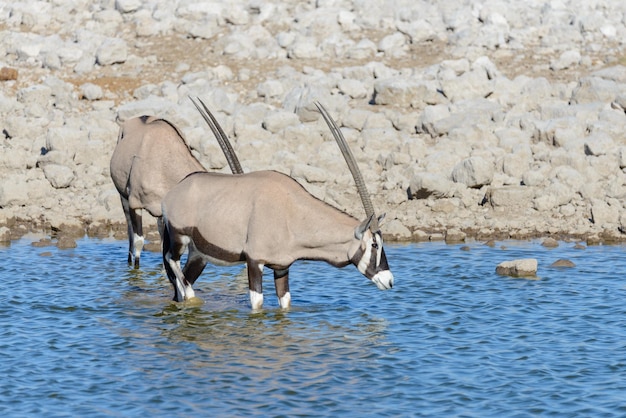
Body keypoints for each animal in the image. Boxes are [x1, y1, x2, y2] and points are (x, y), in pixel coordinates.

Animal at [161, 103, 390, 308]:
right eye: (374, 244)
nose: (389, 280)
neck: (292, 213)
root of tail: (174, 193)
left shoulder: (282, 267)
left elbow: (285, 303)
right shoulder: (255, 261)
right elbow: (257, 303)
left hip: (198, 254)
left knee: (181, 281)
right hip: (179, 238)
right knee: (173, 264)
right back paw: (191, 296)